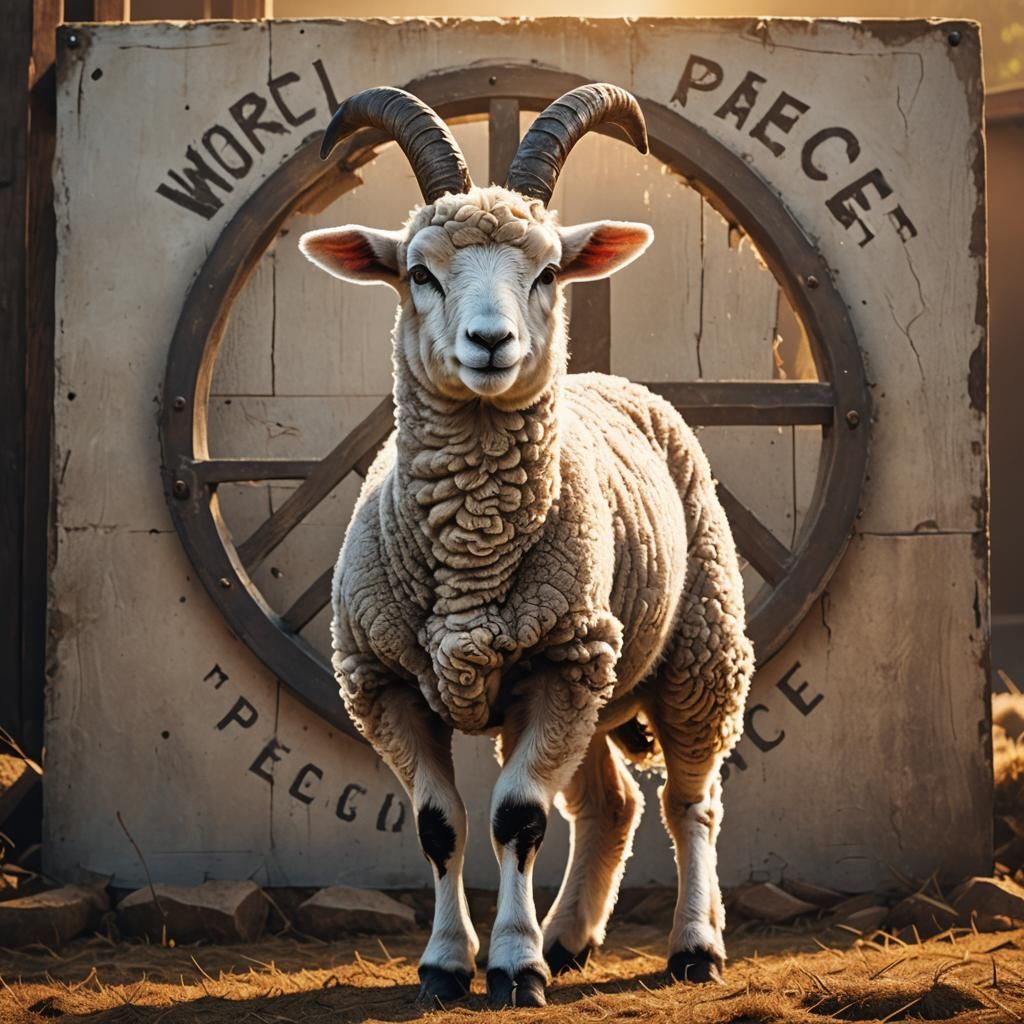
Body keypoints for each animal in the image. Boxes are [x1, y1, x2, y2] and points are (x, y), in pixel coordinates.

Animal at [300, 83, 754, 1008]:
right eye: (419, 272)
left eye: (547, 272)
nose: (490, 343)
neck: (473, 549)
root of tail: (609, 378)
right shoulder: (383, 682)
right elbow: (440, 826)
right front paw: (446, 965)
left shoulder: (561, 666)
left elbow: (517, 818)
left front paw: (514, 966)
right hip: (595, 680)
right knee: (611, 805)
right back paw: (573, 935)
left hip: (697, 649)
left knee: (690, 804)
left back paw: (694, 946)